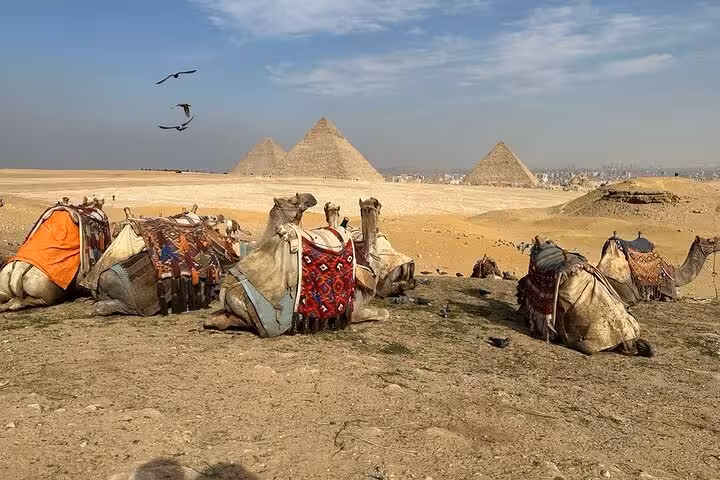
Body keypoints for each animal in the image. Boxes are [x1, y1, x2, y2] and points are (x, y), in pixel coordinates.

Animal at [205, 197, 391, 336]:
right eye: (379, 206)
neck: (369, 270)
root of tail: (226, 289)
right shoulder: (354, 310)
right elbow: (384, 314)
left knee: (218, 319)